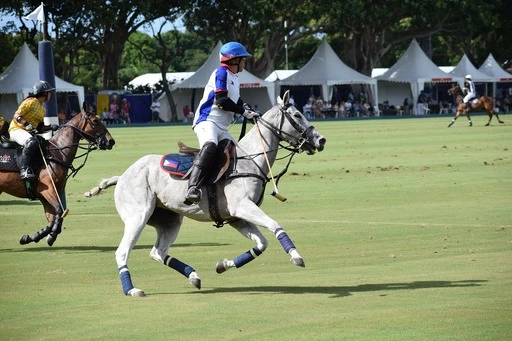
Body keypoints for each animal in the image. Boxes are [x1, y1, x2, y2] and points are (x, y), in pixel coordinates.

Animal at [0, 107, 115, 246]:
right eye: (95, 121)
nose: (111, 141)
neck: (58, 153)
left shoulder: (46, 195)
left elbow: (52, 218)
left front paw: (33, 237)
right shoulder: (47, 190)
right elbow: (59, 211)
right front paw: (52, 234)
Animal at [84, 91, 324, 296]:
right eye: (297, 115)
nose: (321, 140)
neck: (250, 159)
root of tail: (122, 176)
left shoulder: (237, 218)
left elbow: (261, 244)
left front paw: (223, 265)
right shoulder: (242, 206)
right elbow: (275, 225)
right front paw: (296, 256)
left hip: (169, 220)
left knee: (157, 252)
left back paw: (193, 276)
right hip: (138, 216)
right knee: (122, 252)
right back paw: (132, 290)